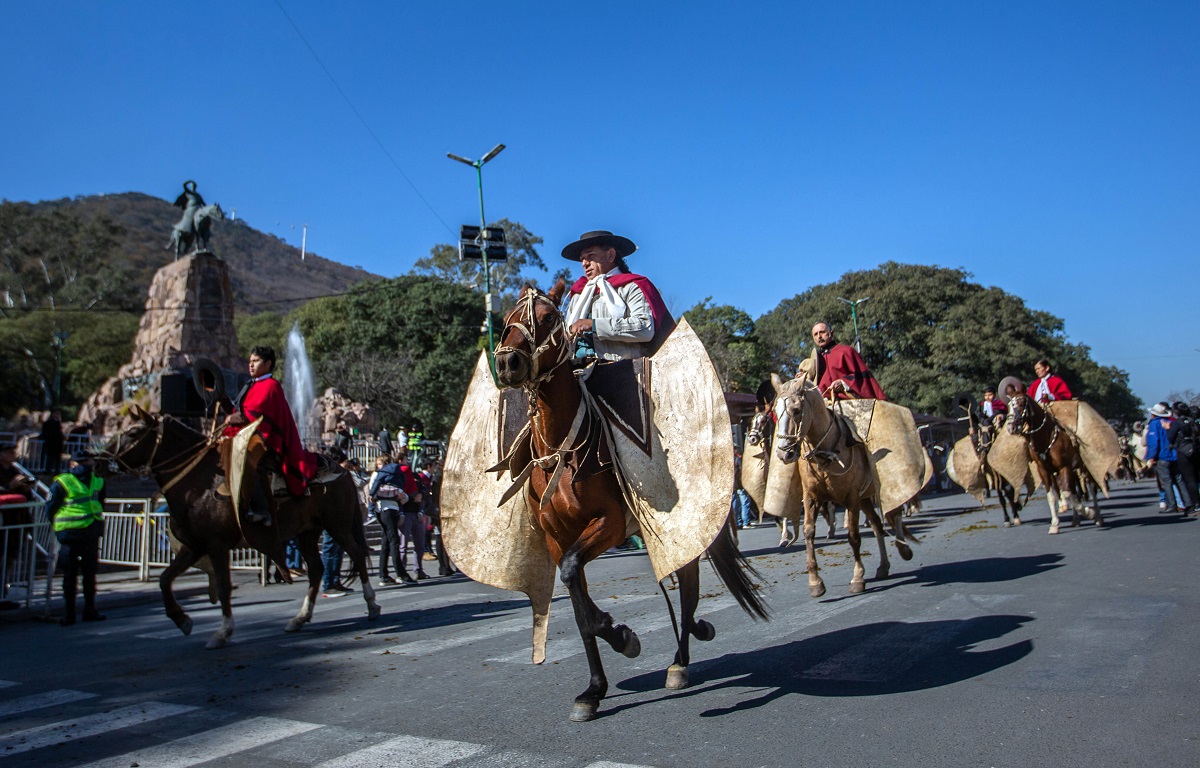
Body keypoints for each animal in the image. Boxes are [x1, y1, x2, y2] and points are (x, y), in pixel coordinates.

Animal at [108, 410, 381, 643]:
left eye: (133, 433)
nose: (107, 459)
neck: (199, 483)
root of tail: (342, 472)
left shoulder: (216, 545)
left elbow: (223, 586)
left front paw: (223, 631)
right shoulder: (194, 546)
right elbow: (165, 579)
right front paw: (181, 619)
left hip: (337, 525)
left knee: (357, 554)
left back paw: (371, 605)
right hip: (307, 531)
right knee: (316, 569)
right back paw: (300, 617)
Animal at [494, 282, 768, 720]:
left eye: (550, 318)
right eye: (506, 319)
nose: (508, 363)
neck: (560, 450)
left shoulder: (609, 524)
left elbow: (574, 577)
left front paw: (621, 637)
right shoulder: (556, 537)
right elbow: (577, 603)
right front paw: (595, 686)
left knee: (688, 592)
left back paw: (680, 661)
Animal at [772, 379, 912, 600]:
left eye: (796, 410)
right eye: (776, 412)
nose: (783, 453)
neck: (825, 452)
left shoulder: (851, 497)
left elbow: (853, 536)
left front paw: (857, 578)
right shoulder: (811, 497)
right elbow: (808, 532)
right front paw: (815, 582)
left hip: (879, 491)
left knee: (895, 512)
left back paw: (903, 549)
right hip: (865, 499)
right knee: (877, 525)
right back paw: (883, 566)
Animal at [1008, 396, 1099, 532]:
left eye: (1021, 404)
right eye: (1008, 406)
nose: (1010, 427)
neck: (1045, 438)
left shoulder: (1064, 467)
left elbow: (1066, 493)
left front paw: (1089, 513)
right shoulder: (1044, 470)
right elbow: (1052, 496)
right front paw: (1054, 524)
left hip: (1085, 466)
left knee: (1092, 489)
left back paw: (1098, 518)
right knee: (1074, 491)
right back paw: (1076, 520)